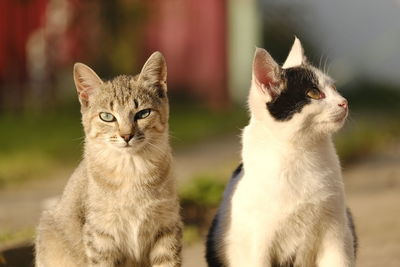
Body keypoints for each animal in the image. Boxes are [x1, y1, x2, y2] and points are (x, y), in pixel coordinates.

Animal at [206, 38, 356, 267]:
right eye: (313, 93)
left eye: (334, 87)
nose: (344, 102)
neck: (301, 151)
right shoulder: (258, 242)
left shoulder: (337, 232)